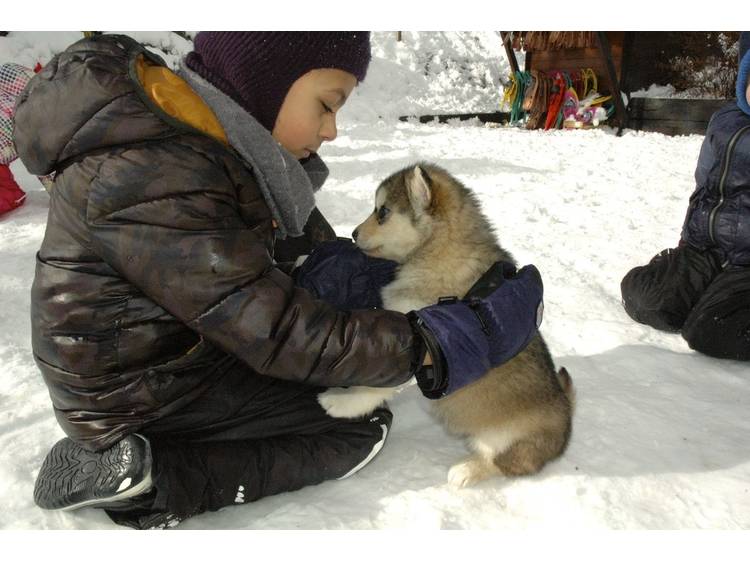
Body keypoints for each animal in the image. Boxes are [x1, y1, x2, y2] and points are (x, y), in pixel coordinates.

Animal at [318, 162, 576, 486]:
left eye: (383, 211)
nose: (352, 234)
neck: (437, 250)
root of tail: (568, 420)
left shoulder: (418, 341)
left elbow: (376, 385)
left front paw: (341, 403)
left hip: (508, 439)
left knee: (502, 463)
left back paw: (466, 471)